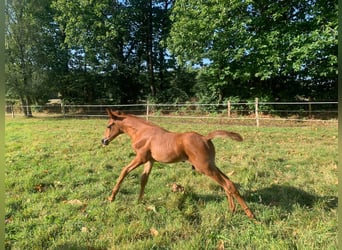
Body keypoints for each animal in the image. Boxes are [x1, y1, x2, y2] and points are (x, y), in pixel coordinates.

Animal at [101, 109, 254, 219]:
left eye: (109, 126)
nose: (104, 141)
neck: (142, 132)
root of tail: (206, 138)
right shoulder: (150, 161)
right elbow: (144, 179)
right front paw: (139, 201)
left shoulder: (141, 158)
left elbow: (124, 171)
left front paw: (111, 197)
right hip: (211, 164)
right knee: (227, 183)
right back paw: (232, 210)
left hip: (204, 167)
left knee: (228, 184)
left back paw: (250, 215)